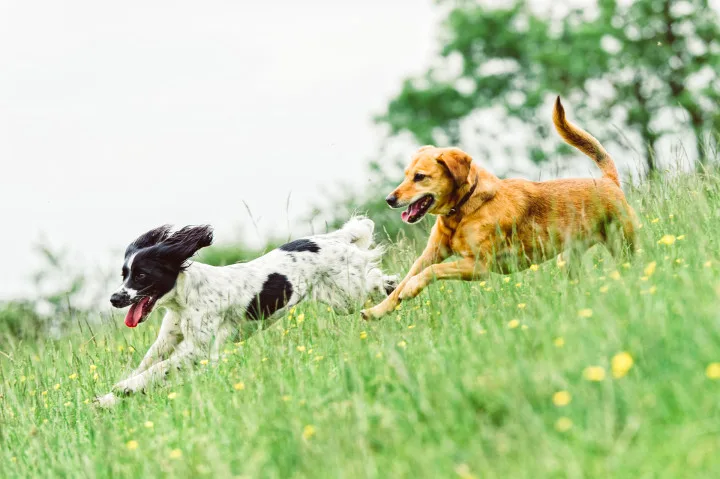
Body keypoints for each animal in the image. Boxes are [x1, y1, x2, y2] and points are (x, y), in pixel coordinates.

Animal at [95, 218, 396, 408]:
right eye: (124, 274)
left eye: (141, 275)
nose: (114, 299)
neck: (184, 298)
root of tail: (337, 238)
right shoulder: (169, 339)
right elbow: (149, 363)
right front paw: (108, 399)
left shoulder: (199, 350)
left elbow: (158, 369)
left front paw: (126, 388)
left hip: (347, 296)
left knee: (376, 280)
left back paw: (392, 289)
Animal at [362, 95, 632, 320]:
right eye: (406, 175)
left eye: (420, 177)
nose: (389, 199)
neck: (463, 209)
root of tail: (608, 181)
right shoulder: (431, 253)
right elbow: (407, 278)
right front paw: (377, 310)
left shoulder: (478, 266)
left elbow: (431, 272)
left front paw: (411, 289)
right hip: (568, 258)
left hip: (623, 243)